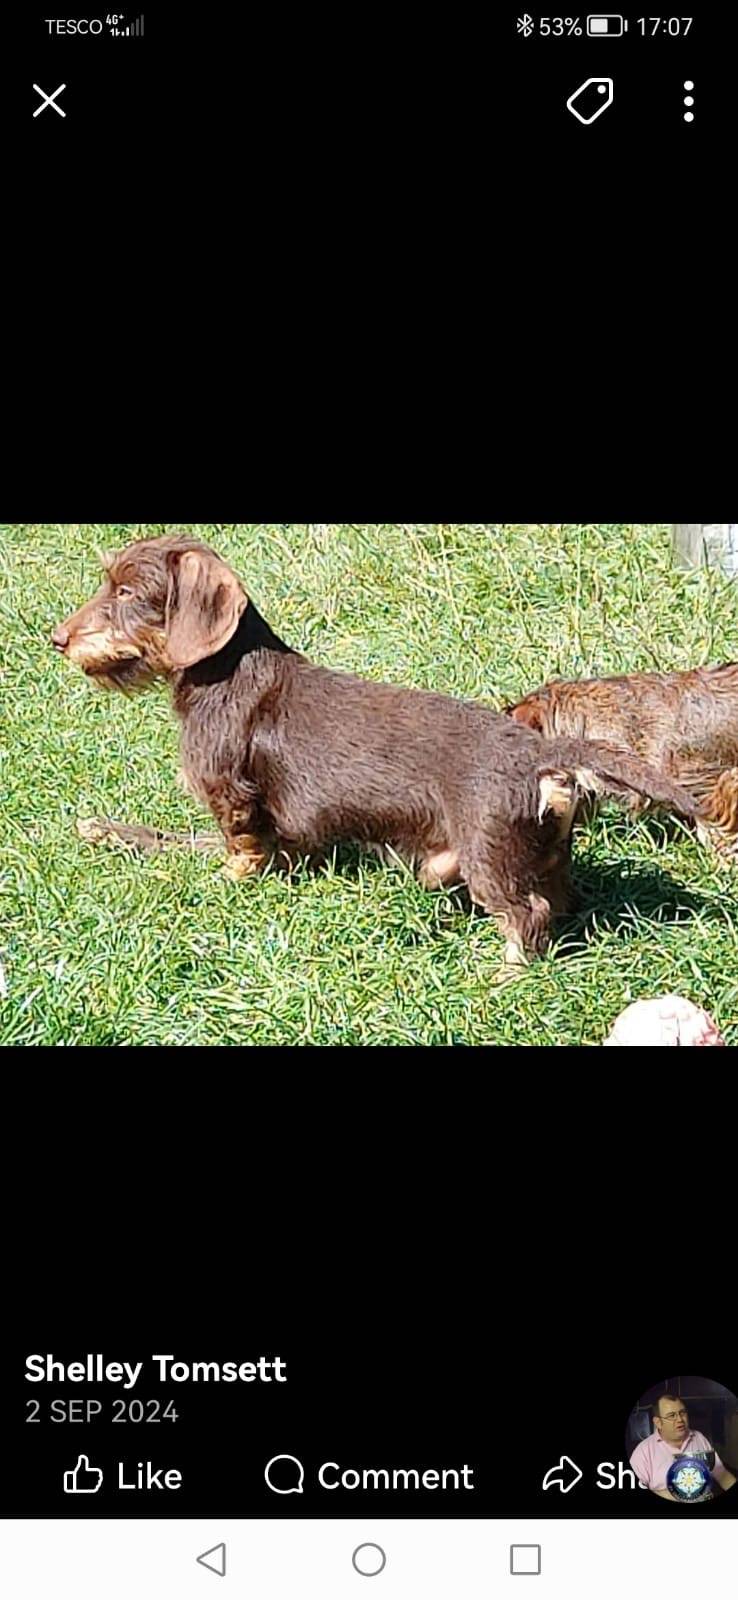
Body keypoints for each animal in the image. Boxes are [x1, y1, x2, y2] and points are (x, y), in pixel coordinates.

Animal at [52, 535, 699, 968]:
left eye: (128, 592)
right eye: (106, 582)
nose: (57, 639)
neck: (224, 669)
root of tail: (541, 751)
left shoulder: (234, 798)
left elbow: (238, 849)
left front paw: (227, 884)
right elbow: (173, 838)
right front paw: (105, 830)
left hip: (489, 855)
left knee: (527, 915)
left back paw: (503, 974)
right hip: (536, 852)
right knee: (558, 900)